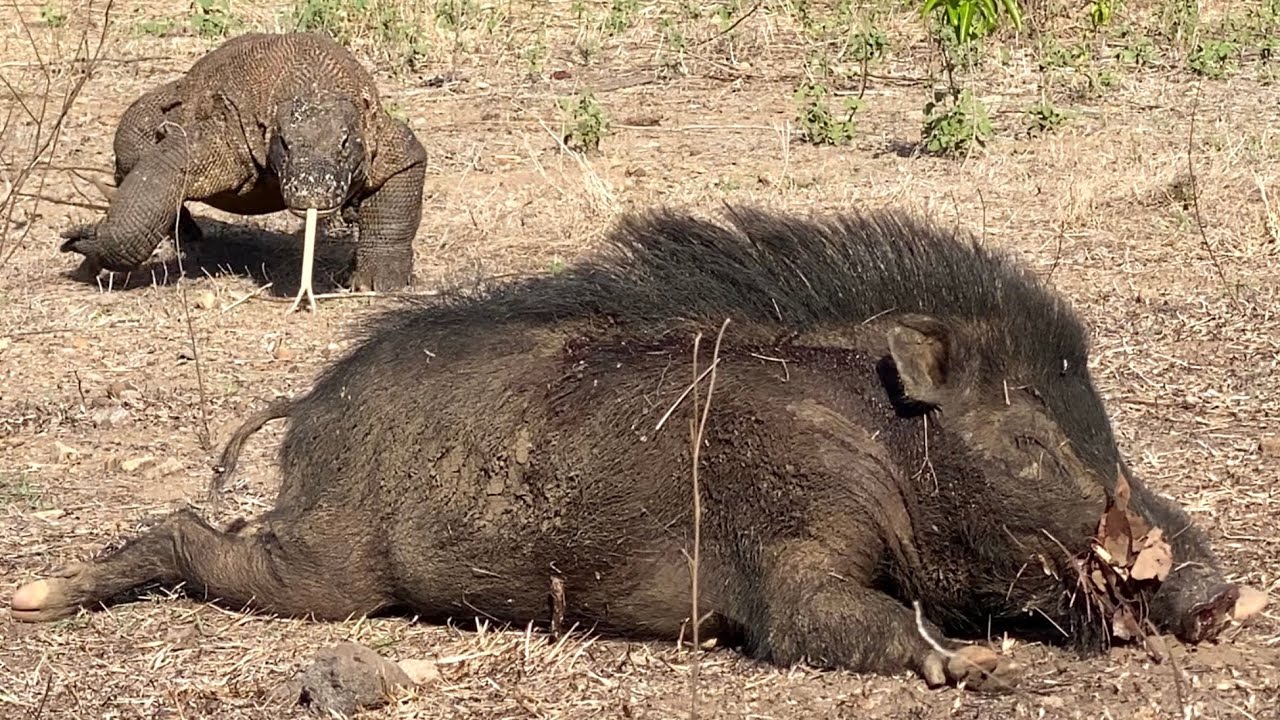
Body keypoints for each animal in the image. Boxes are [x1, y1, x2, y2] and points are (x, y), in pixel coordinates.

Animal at [10, 205, 1265, 691]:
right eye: (1023, 434)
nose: (1215, 593)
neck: (876, 434)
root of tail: (309, 409)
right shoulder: (786, 556)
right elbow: (833, 621)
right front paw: (980, 666)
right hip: (327, 572)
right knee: (190, 532)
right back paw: (37, 598)